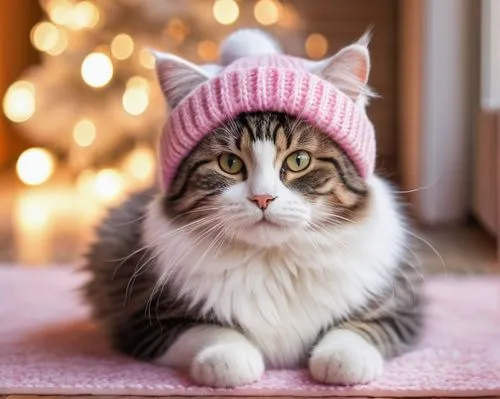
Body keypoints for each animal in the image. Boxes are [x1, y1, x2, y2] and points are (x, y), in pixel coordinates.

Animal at [85, 29, 422, 390]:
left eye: (299, 160)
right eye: (230, 163)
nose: (262, 198)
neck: (274, 261)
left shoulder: (400, 307)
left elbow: (359, 330)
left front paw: (342, 360)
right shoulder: (144, 319)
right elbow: (213, 332)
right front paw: (230, 361)